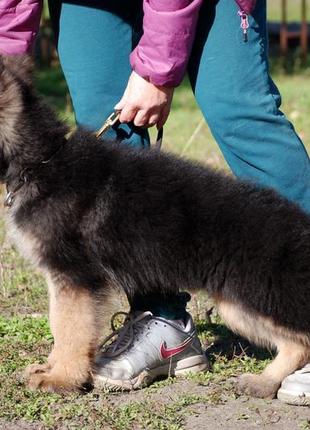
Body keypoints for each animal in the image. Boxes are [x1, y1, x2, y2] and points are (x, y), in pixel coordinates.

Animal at [0, 55, 308, 398]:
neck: (40, 162)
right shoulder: (63, 279)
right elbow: (59, 323)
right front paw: (51, 368)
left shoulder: (75, 276)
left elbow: (70, 328)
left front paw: (63, 378)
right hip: (237, 304)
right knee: (296, 345)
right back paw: (263, 381)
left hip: (256, 297)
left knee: (301, 340)